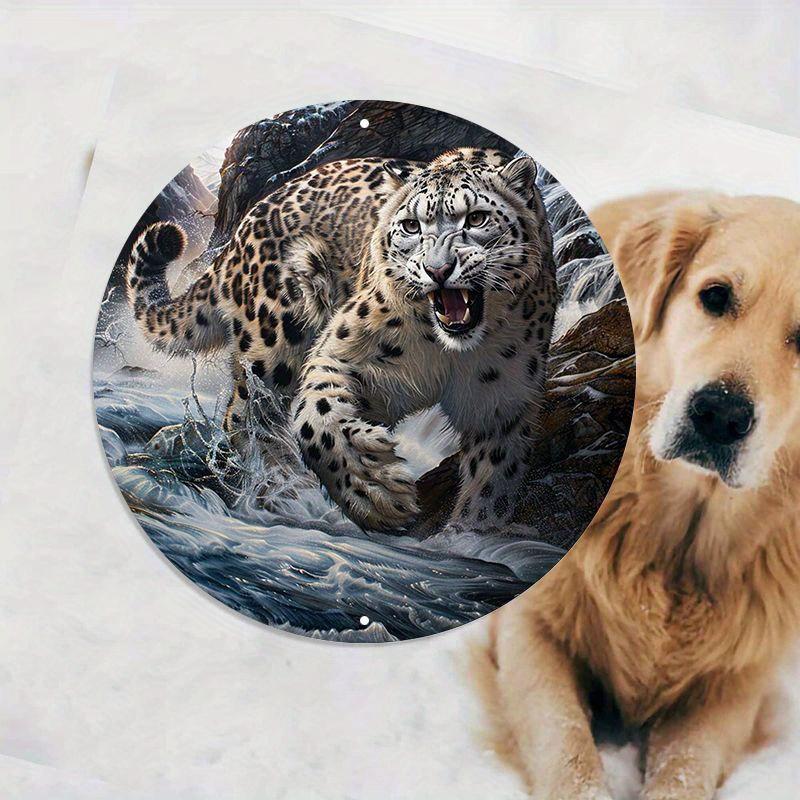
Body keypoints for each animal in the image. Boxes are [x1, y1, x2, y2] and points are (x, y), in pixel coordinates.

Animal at [126, 147, 557, 532]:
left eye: (478, 218)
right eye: (411, 226)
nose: (438, 269)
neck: (449, 353)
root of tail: (241, 229)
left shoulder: (500, 403)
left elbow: (493, 479)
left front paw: (470, 532)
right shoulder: (345, 351)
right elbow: (316, 416)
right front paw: (377, 494)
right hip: (275, 339)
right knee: (246, 415)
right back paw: (285, 490)